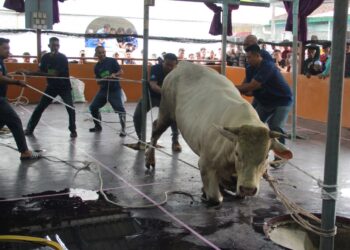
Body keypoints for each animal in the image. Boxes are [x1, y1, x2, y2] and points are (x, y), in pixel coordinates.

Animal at [145, 62, 292, 205]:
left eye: (266, 156)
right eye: (237, 153)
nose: (248, 189)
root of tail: (183, 65)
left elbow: (238, 193)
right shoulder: (205, 164)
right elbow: (216, 198)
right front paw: (207, 193)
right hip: (166, 110)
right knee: (156, 129)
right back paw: (149, 159)